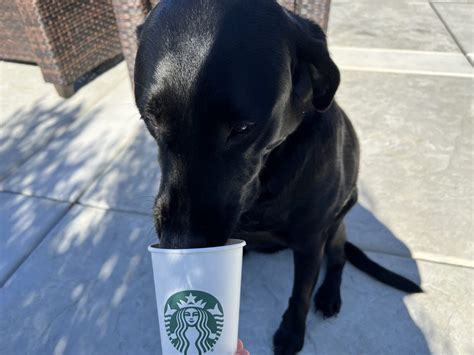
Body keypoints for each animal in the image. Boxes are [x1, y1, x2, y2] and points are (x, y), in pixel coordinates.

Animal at [134, 1, 422, 354]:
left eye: (242, 127)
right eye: (150, 119)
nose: (179, 244)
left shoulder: (311, 241)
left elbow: (300, 294)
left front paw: (290, 333)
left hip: (336, 225)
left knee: (338, 257)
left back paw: (329, 294)